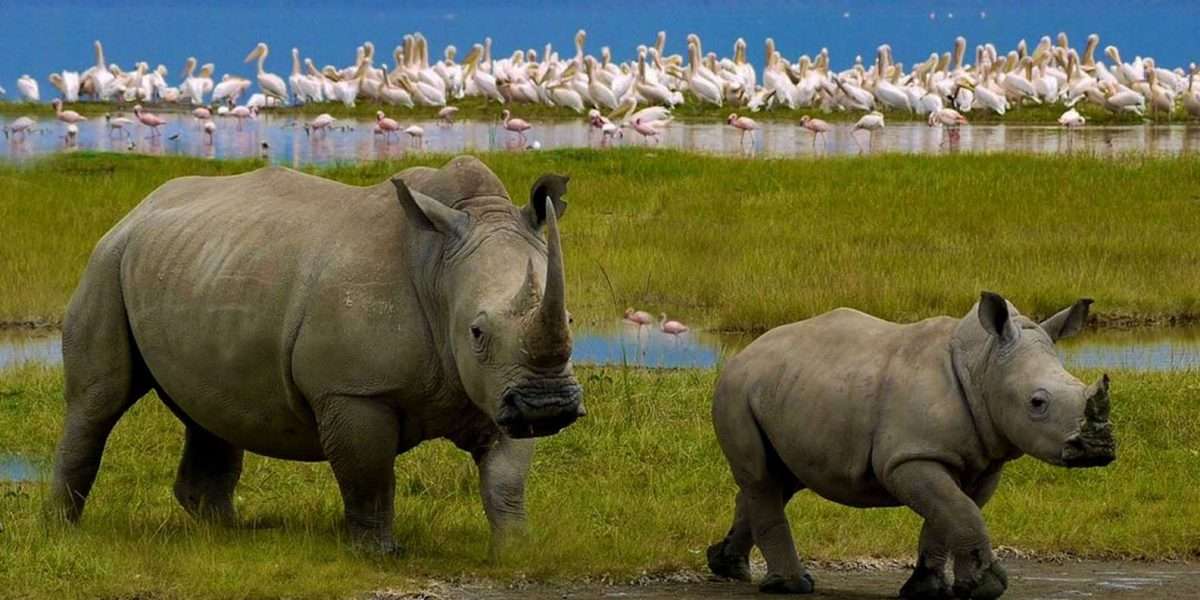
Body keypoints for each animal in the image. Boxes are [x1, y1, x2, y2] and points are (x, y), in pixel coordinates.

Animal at [49, 156, 585, 555]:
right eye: (476, 331)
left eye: (571, 320)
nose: (549, 406)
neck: (438, 270)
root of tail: (140, 208)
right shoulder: (354, 391)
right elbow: (369, 478)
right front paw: (379, 555)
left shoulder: (500, 387)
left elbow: (506, 479)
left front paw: (515, 550)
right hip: (106, 263)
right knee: (98, 402)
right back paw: (62, 530)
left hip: (196, 265)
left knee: (209, 409)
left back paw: (228, 535)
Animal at [708, 292, 1115, 599]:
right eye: (1037, 402)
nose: (1099, 450)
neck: (983, 367)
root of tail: (745, 351)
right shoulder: (909, 457)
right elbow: (961, 513)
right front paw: (987, 587)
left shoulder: (981, 462)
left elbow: (950, 514)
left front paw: (930, 589)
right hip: (737, 389)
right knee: (762, 478)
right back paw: (792, 586)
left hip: (785, 389)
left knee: (779, 479)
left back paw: (728, 566)